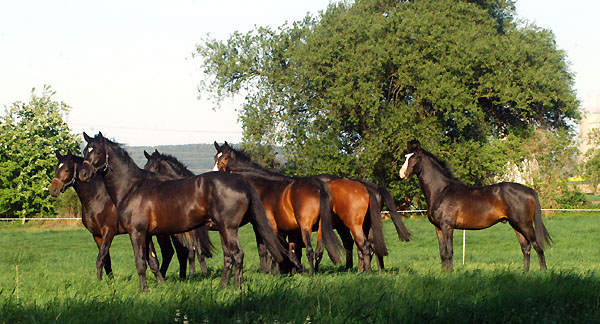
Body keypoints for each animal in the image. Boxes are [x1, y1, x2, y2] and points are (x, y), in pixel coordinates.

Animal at [49, 152, 195, 280]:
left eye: (66, 169)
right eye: (56, 168)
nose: (53, 190)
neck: (97, 197)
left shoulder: (109, 231)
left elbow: (101, 258)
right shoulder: (97, 235)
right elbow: (106, 260)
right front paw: (110, 283)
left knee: (178, 251)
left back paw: (179, 278)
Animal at [77, 132, 288, 292]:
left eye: (97, 151)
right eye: (84, 151)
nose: (83, 174)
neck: (132, 187)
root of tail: (242, 181)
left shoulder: (136, 233)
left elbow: (140, 262)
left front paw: (144, 290)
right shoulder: (146, 234)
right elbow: (152, 261)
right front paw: (157, 285)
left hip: (229, 228)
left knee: (237, 255)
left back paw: (237, 288)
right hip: (224, 229)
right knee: (230, 256)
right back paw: (222, 286)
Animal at [213, 142, 342, 274]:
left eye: (225, 158)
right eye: (215, 158)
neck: (264, 188)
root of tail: (319, 186)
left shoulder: (267, 226)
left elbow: (269, 250)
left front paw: (271, 272)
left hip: (306, 227)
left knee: (311, 250)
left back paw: (311, 273)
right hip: (321, 227)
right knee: (318, 252)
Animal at [398, 140, 552, 270]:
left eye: (415, 158)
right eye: (406, 157)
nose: (402, 174)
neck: (441, 191)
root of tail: (529, 190)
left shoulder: (447, 227)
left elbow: (449, 252)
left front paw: (450, 274)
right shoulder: (438, 228)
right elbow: (442, 253)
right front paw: (443, 274)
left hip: (525, 225)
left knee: (537, 246)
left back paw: (543, 272)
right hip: (516, 225)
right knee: (526, 248)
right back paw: (525, 272)